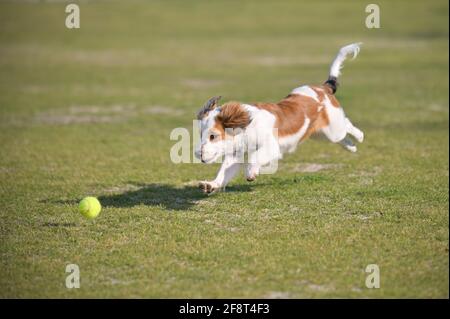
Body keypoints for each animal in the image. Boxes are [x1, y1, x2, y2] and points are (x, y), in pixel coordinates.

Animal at [195, 43, 364, 195]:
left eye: (213, 136)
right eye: (201, 135)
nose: (199, 155)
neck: (245, 128)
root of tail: (324, 87)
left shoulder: (271, 146)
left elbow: (255, 157)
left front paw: (251, 172)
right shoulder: (236, 154)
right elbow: (224, 172)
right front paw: (211, 185)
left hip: (333, 129)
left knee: (347, 126)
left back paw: (359, 137)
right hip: (320, 134)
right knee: (342, 138)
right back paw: (351, 147)